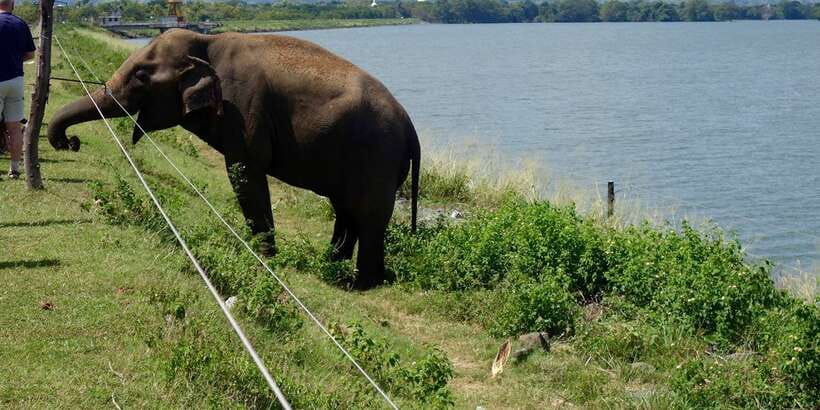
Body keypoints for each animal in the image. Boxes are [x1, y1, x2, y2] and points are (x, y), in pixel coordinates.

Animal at [48, 29, 420, 289]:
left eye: (141, 74)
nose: (71, 142)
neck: (206, 41)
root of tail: (411, 126)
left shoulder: (244, 107)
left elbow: (244, 171)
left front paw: (262, 255)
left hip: (377, 157)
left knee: (367, 214)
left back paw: (360, 283)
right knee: (347, 210)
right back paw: (334, 269)